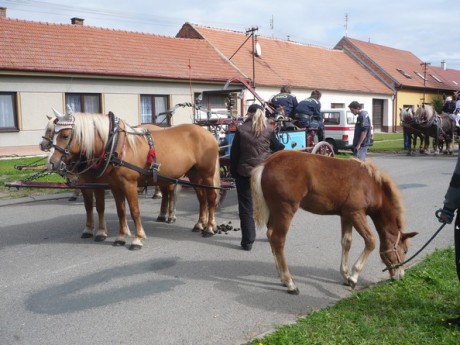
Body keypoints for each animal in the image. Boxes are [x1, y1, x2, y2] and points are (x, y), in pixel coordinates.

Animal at [47, 109, 220, 247]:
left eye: (65, 135)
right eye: (52, 132)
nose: (51, 163)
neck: (115, 146)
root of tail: (207, 133)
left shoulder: (129, 184)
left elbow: (134, 210)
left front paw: (138, 238)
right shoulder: (115, 185)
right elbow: (121, 210)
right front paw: (121, 237)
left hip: (207, 174)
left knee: (211, 197)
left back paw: (210, 227)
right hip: (194, 174)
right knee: (202, 198)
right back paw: (199, 224)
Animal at [250, 150, 418, 292]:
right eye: (404, 250)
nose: (400, 276)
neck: (371, 185)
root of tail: (266, 164)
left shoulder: (346, 215)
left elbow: (346, 242)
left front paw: (345, 276)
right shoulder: (356, 213)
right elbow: (370, 241)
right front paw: (353, 277)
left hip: (275, 211)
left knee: (271, 236)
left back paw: (281, 278)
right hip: (286, 210)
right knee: (278, 239)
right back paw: (290, 283)